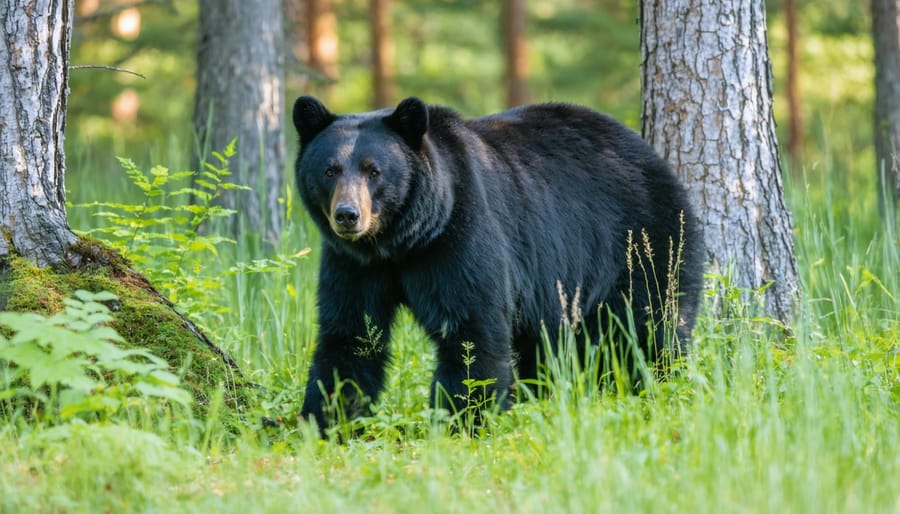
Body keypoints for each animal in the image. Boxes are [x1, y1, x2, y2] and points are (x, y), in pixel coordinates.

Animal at [291, 96, 705, 431]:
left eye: (373, 170)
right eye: (330, 170)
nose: (348, 215)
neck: (401, 241)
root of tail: (649, 153)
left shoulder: (459, 234)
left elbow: (472, 327)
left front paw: (464, 419)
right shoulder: (354, 264)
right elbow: (350, 333)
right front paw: (325, 420)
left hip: (639, 240)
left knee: (651, 321)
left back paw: (662, 383)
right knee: (549, 346)